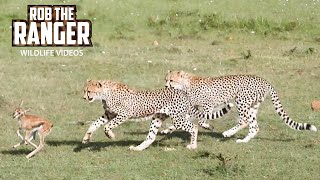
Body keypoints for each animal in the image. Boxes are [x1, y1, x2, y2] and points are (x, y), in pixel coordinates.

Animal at [82, 80, 231, 150]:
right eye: (84, 90)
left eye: (89, 91)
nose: (84, 97)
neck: (105, 93)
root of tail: (183, 93)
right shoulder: (109, 114)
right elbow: (95, 124)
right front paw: (86, 138)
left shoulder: (124, 114)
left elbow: (107, 126)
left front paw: (111, 135)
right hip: (157, 118)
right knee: (151, 136)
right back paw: (138, 148)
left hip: (177, 119)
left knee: (193, 127)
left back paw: (193, 145)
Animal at [165, 70, 318, 142]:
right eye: (166, 79)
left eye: (171, 80)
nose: (165, 86)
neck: (186, 83)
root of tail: (264, 80)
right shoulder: (193, 108)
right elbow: (182, 120)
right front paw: (167, 130)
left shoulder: (208, 104)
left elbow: (202, 120)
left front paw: (209, 126)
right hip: (252, 106)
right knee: (254, 126)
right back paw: (243, 141)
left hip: (241, 101)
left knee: (244, 121)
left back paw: (228, 133)